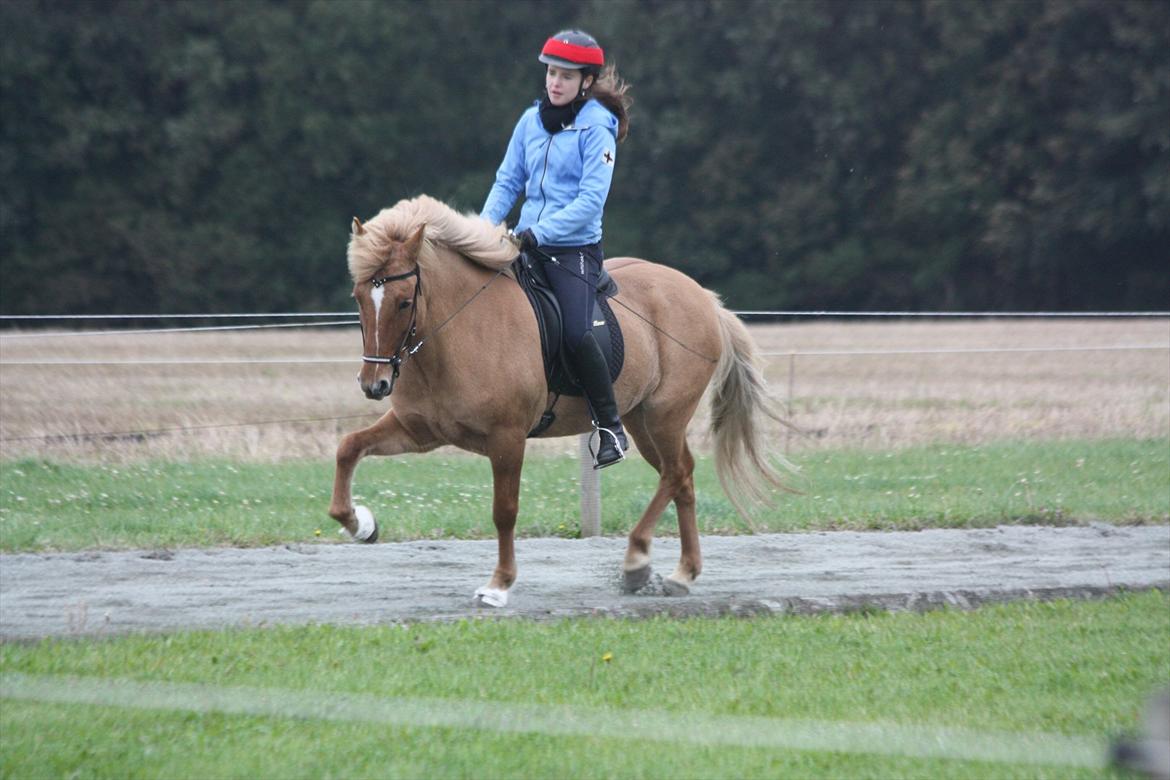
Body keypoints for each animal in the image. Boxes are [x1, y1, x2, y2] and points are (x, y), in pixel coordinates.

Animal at [325, 195, 790, 608]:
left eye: (404, 301)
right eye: (358, 298)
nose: (374, 384)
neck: (456, 332)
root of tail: (703, 297)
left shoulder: (507, 439)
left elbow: (504, 511)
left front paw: (499, 585)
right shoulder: (421, 430)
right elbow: (348, 448)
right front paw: (361, 524)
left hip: (665, 416)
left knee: (675, 474)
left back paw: (636, 561)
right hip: (641, 420)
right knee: (682, 478)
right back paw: (682, 574)